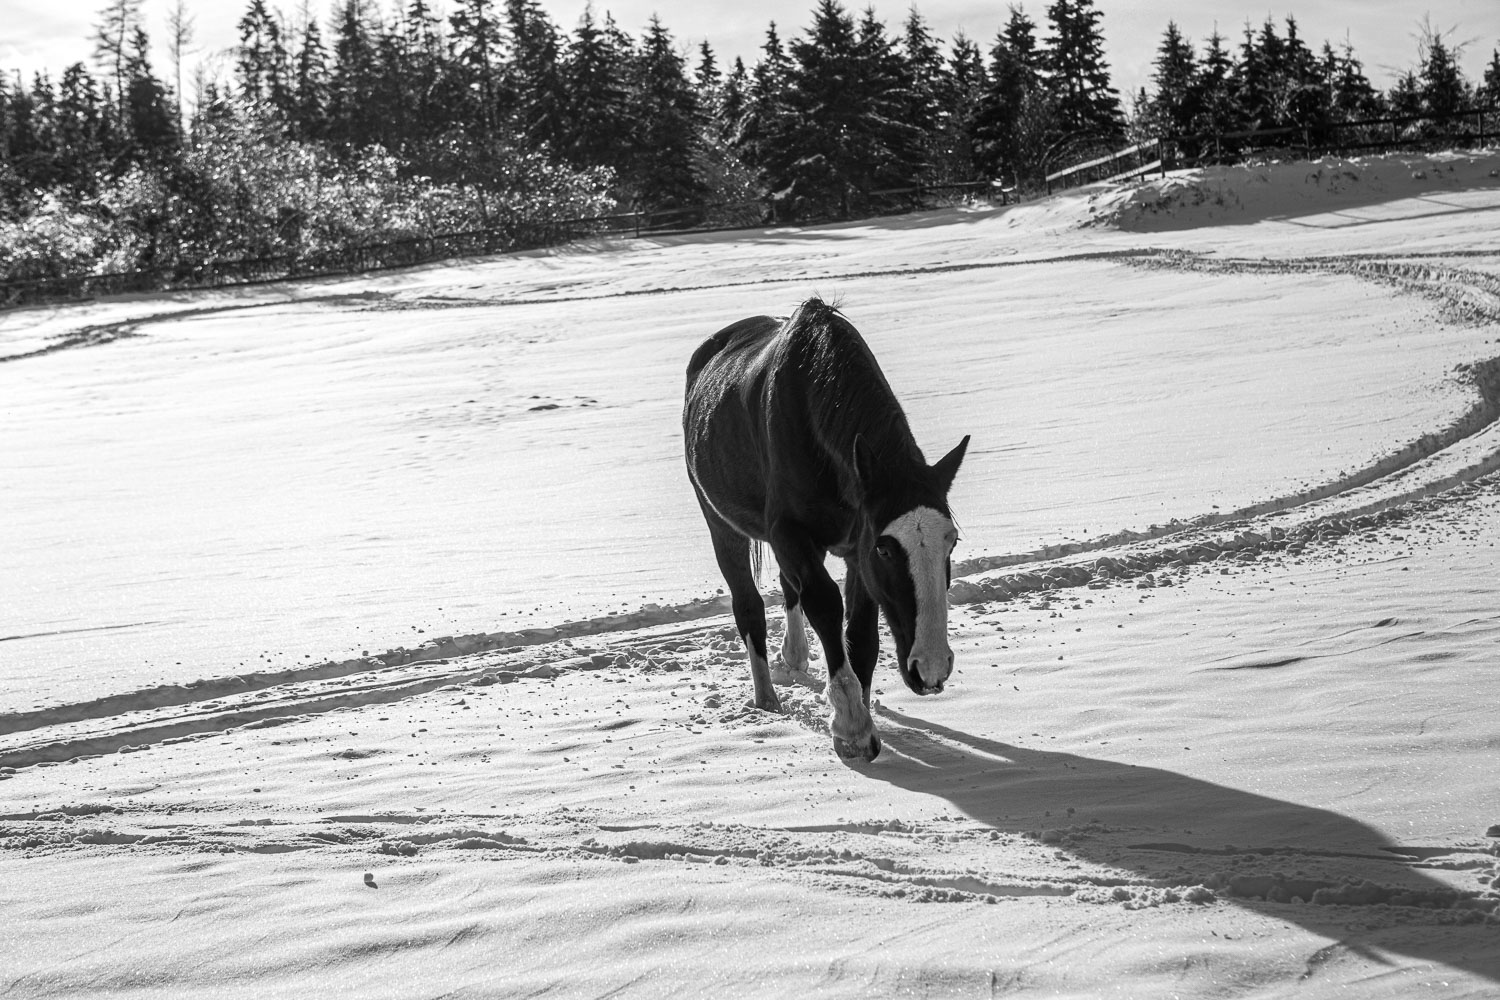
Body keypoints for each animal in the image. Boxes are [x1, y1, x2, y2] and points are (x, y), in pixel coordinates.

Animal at [684, 296, 966, 758]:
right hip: (722, 525)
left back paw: (795, 656)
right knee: (749, 606)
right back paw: (767, 701)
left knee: (787, 587)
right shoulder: (796, 535)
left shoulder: (854, 547)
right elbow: (825, 604)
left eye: (951, 542)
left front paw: (862, 711)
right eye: (886, 548)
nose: (931, 668)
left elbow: (861, 633)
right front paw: (851, 726)